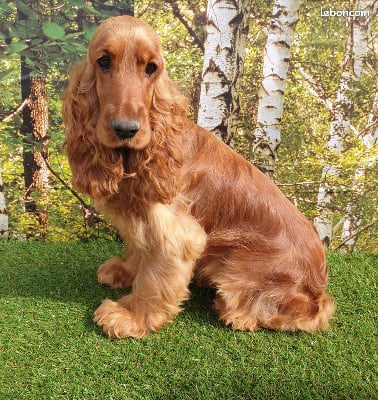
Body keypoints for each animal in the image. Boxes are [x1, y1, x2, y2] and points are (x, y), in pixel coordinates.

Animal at [63, 17, 336, 340]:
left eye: (151, 68)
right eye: (103, 61)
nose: (126, 129)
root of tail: (318, 289)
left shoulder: (176, 233)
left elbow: (153, 278)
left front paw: (132, 316)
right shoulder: (142, 218)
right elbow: (139, 248)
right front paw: (124, 271)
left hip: (244, 273)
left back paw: (239, 312)